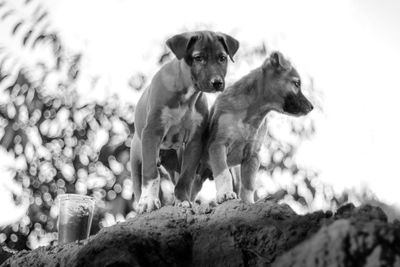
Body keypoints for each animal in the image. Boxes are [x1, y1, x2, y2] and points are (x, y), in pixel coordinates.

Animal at [130, 30, 241, 214]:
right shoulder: (152, 132)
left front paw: (182, 201)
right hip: (137, 156)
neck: (187, 96)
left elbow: (185, 178)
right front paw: (149, 202)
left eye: (222, 58)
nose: (217, 82)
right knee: (139, 183)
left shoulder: (194, 142)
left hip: (177, 159)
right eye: (198, 58)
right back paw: (141, 205)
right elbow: (151, 174)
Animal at [192, 51, 314, 204]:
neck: (251, 116)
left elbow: (248, 185)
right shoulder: (217, 145)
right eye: (297, 83)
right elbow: (223, 173)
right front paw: (225, 194)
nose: (311, 107)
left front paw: (248, 202)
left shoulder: (252, 156)